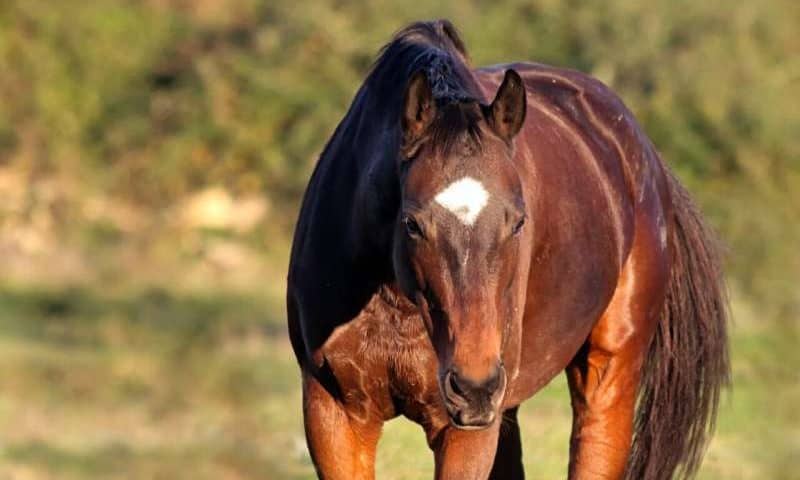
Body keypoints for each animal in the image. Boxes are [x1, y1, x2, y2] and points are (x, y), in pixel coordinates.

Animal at [287, 20, 729, 480]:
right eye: (412, 223)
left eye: (518, 222)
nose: (473, 387)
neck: (396, 304)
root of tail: (643, 152)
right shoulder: (334, 412)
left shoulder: (464, 430)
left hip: (606, 374)